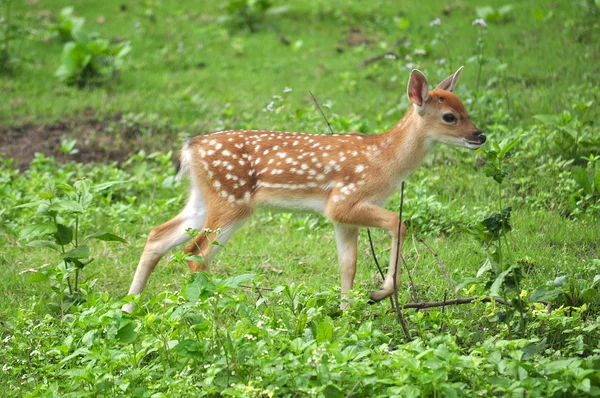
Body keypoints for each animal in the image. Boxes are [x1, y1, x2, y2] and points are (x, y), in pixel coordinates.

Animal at [120, 67, 482, 312]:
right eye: (450, 116)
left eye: (466, 109)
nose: (480, 135)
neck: (384, 160)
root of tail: (189, 147)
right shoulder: (344, 200)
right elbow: (399, 221)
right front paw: (380, 292)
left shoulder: (342, 218)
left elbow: (348, 264)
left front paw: (347, 314)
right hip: (232, 199)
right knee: (196, 252)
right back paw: (207, 310)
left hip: (203, 197)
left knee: (158, 235)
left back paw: (128, 307)